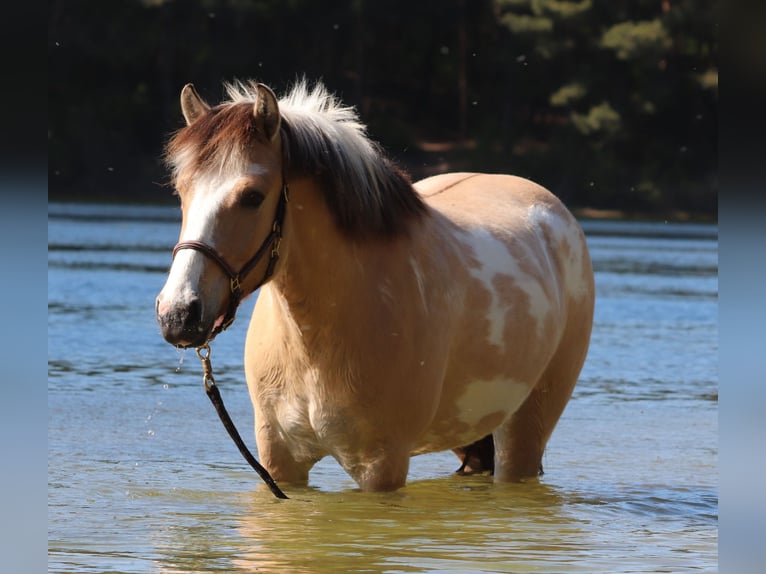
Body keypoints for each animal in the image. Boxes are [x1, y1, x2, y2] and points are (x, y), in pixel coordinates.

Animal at [156, 79, 595, 492]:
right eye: (181, 190)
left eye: (252, 196)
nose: (178, 314)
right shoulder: (281, 461)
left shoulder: (380, 466)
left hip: (524, 431)